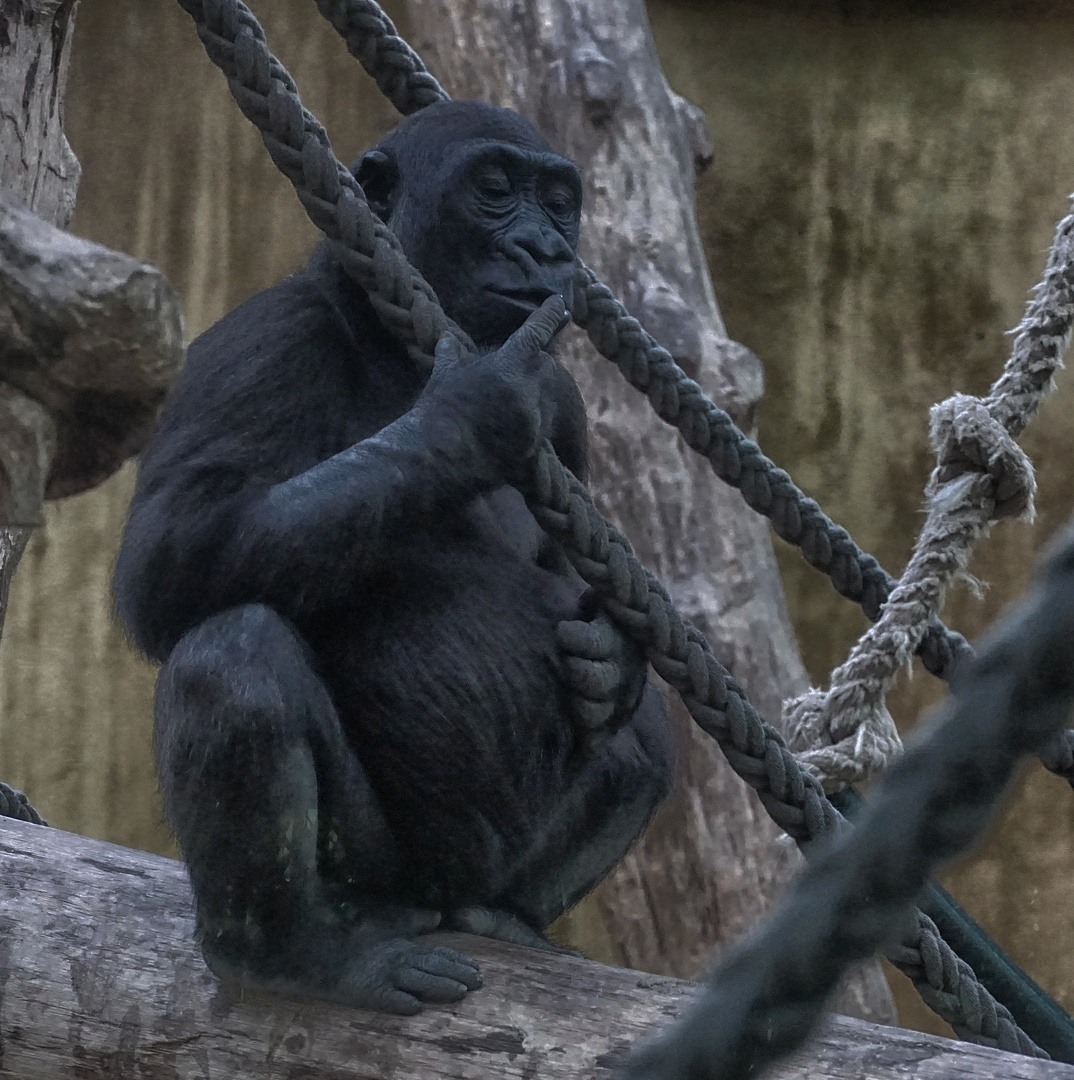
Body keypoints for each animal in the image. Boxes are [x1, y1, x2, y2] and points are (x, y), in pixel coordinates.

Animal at [115, 99, 669, 1010]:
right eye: (494, 187)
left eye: (559, 203)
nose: (545, 246)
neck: (392, 338)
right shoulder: (260, 344)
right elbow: (172, 555)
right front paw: (472, 413)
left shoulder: (568, 410)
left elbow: (571, 593)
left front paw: (613, 654)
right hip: (377, 872)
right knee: (233, 656)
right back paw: (292, 954)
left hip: (483, 875)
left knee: (649, 735)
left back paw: (506, 914)